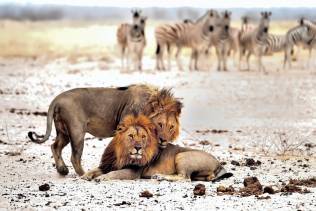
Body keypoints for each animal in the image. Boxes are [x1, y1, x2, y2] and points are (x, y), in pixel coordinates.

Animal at [28, 83, 184, 176]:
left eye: (171, 127)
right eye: (160, 124)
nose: (163, 140)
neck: (147, 106)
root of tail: (57, 99)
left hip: (64, 132)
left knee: (55, 146)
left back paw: (62, 170)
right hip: (77, 132)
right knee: (74, 157)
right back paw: (83, 174)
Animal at [81, 114, 232, 182]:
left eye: (143, 137)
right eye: (131, 136)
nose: (138, 148)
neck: (121, 154)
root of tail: (219, 163)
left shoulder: (133, 172)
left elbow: (114, 174)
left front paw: (102, 177)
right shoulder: (107, 164)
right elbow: (95, 169)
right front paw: (85, 175)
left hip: (181, 156)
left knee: (184, 177)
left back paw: (160, 176)